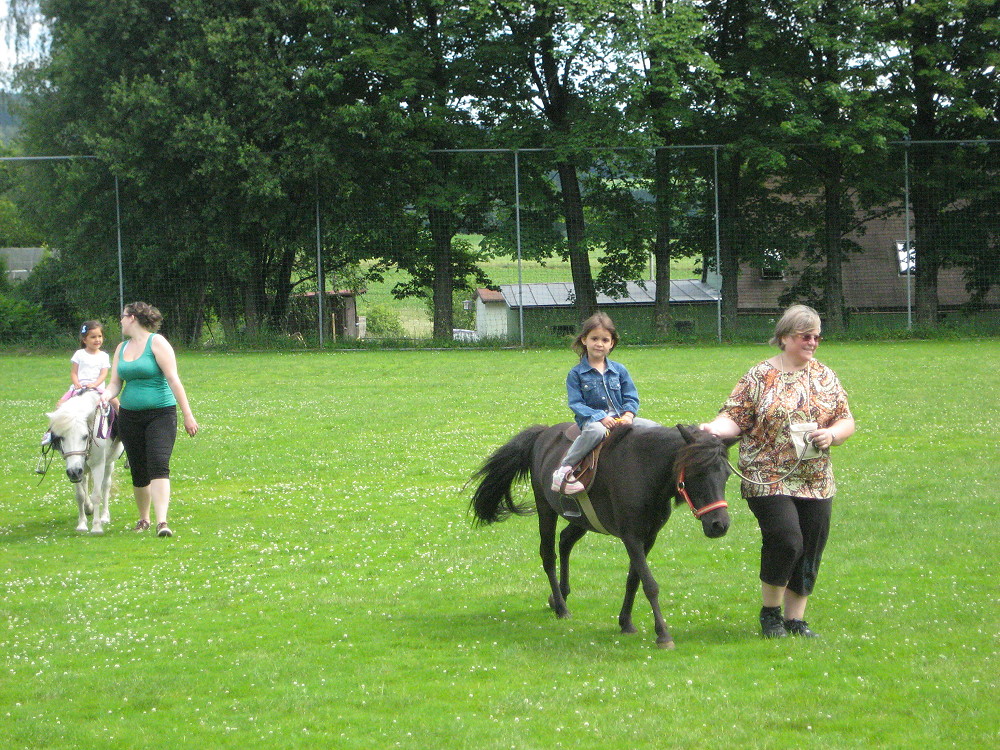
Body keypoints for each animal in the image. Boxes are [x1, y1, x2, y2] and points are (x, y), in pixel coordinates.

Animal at [44, 389, 124, 535]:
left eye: (85, 436)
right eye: (61, 437)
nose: (74, 472)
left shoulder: (98, 465)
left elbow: (97, 494)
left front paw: (97, 526)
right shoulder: (74, 467)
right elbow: (80, 495)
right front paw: (82, 524)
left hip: (108, 463)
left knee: (106, 486)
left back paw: (104, 516)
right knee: (86, 482)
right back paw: (88, 508)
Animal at [468, 422, 733, 649]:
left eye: (726, 475)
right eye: (697, 472)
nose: (719, 525)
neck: (644, 470)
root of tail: (544, 432)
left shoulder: (648, 537)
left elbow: (633, 580)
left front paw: (625, 622)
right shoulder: (631, 537)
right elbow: (650, 585)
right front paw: (663, 634)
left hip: (580, 519)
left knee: (565, 541)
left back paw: (560, 595)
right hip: (546, 509)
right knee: (549, 555)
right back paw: (561, 607)